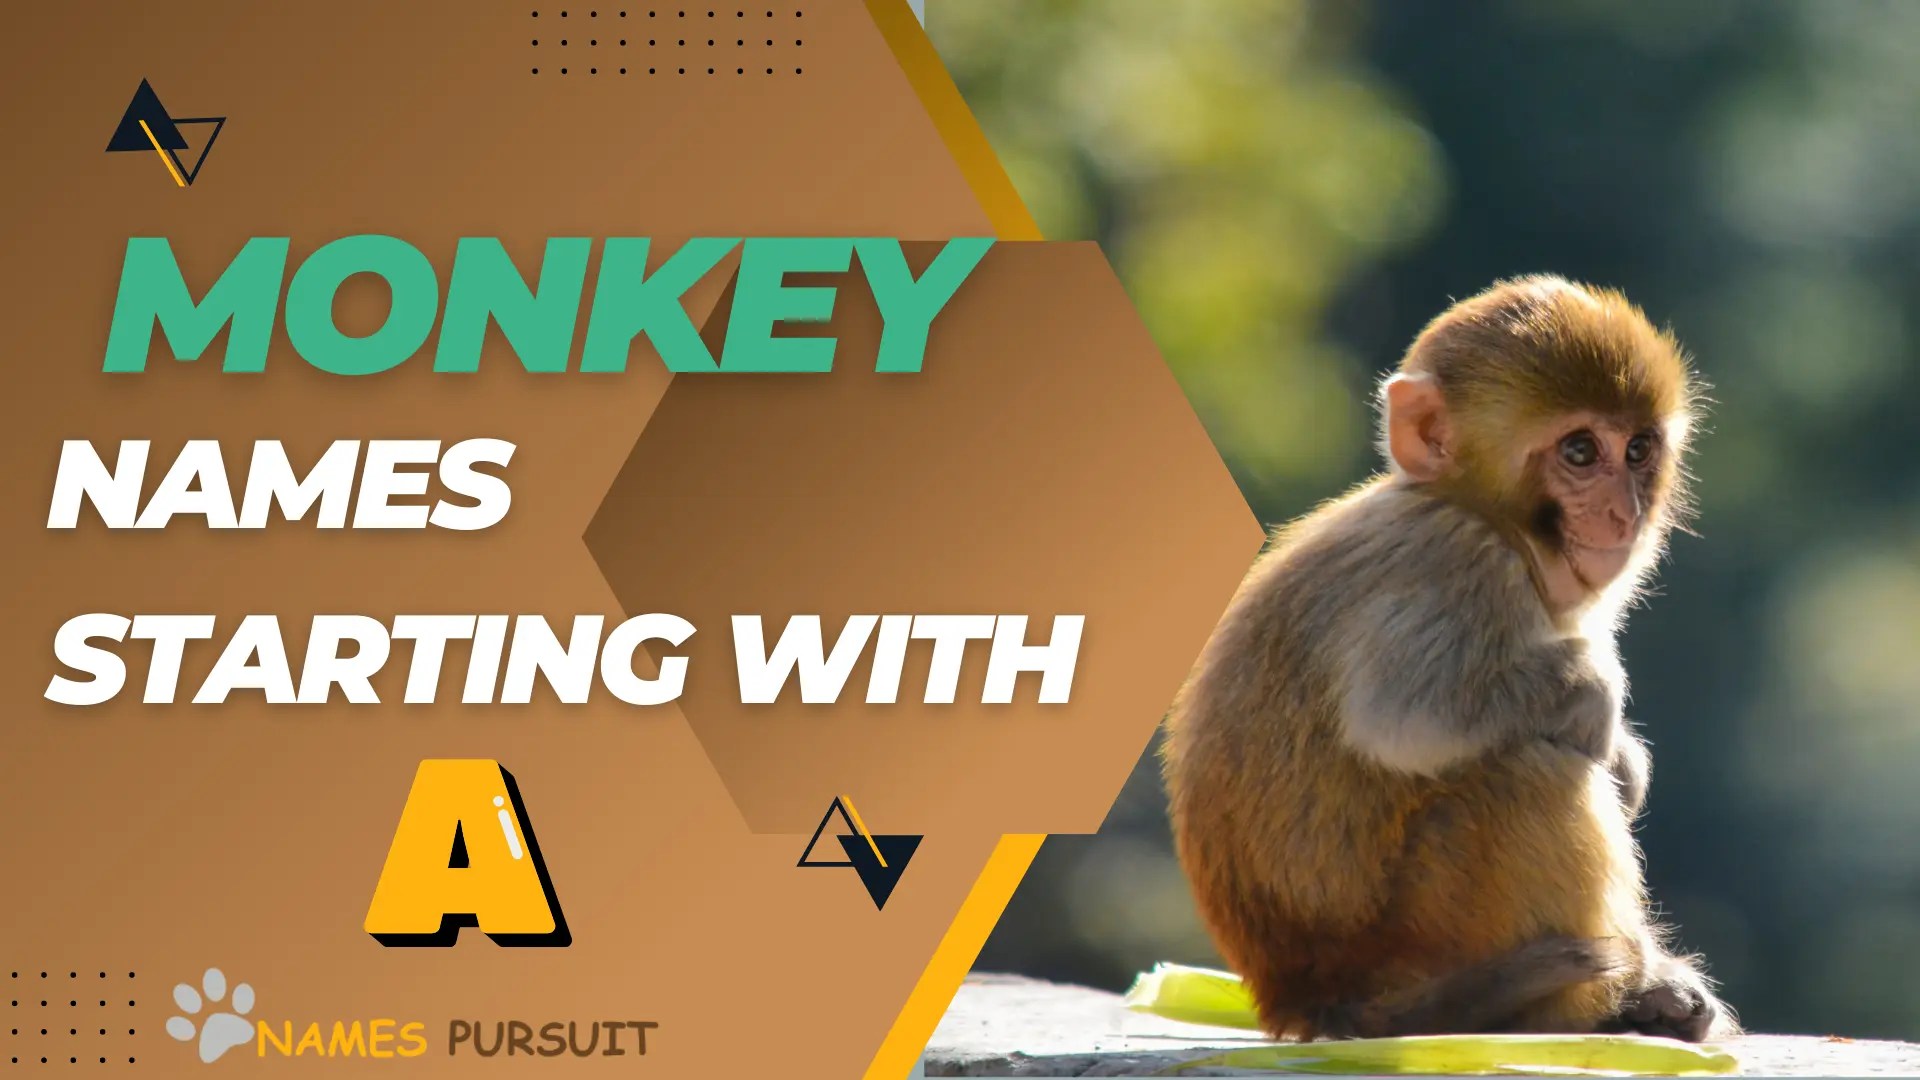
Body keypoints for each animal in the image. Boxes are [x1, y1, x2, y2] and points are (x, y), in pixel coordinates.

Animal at [1161, 274, 1736, 1043]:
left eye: (1638, 449)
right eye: (1581, 452)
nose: (1623, 513)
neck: (1490, 518)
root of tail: (1307, 996)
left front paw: (1626, 755)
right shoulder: (1457, 561)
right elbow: (1408, 720)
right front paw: (1600, 710)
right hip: (1427, 930)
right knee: (1530, 774)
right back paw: (1580, 1004)